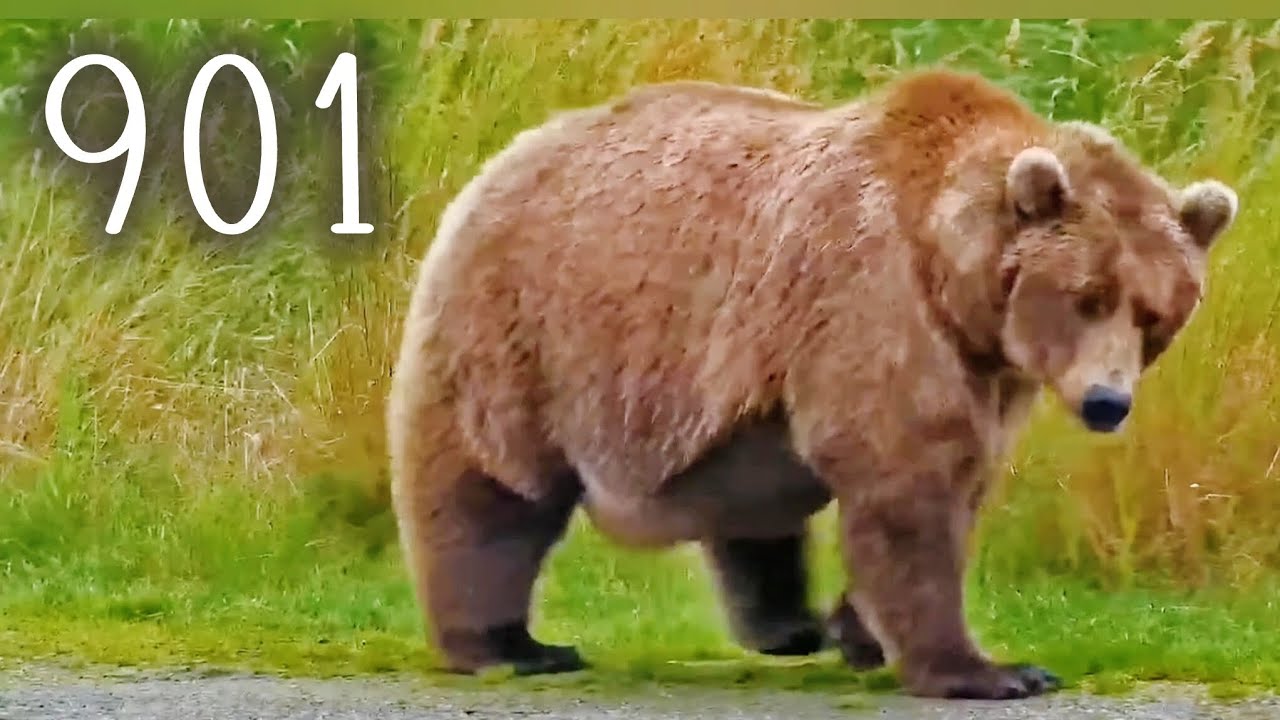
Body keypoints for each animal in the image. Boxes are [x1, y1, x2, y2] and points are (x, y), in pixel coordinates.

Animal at [385, 68, 1238, 700]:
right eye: (1088, 295)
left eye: (1156, 314)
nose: (1107, 402)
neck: (955, 274)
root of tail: (508, 154)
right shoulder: (879, 300)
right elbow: (906, 477)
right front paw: (991, 670)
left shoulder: (984, 366)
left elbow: (956, 482)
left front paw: (860, 631)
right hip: (528, 325)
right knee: (492, 483)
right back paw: (508, 643)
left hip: (719, 394)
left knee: (748, 503)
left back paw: (787, 624)